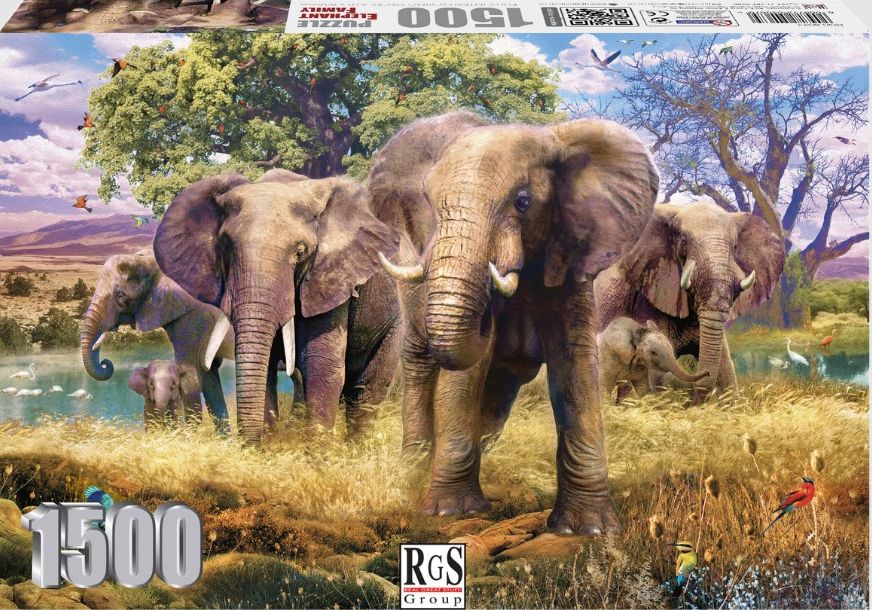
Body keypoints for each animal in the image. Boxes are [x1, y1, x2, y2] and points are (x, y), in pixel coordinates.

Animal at [153, 169, 402, 442]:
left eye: (301, 252)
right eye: (226, 246)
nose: (250, 445)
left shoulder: (330, 280)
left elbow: (323, 367)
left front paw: (317, 453)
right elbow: (267, 368)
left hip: (392, 324)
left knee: (368, 389)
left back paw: (357, 448)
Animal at [370, 111, 659, 535]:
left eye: (523, 202)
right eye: (430, 205)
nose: (493, 315)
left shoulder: (570, 254)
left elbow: (576, 365)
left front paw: (589, 529)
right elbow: (465, 375)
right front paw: (451, 512)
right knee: (422, 362)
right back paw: (414, 473)